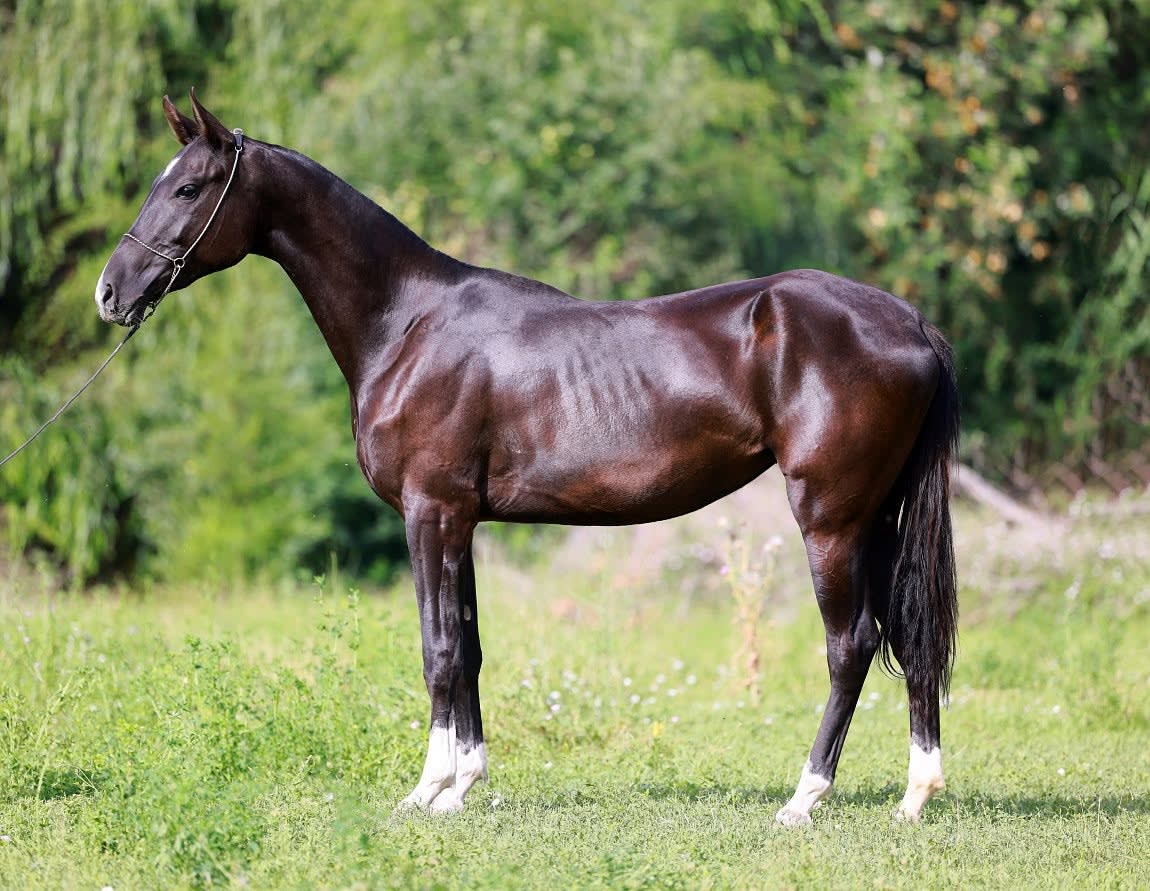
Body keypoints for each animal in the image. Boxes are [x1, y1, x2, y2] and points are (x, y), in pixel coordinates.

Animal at [96, 93, 958, 825]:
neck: (407, 324)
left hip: (831, 519)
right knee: (911, 638)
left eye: (189, 187)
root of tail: (909, 321)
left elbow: (438, 650)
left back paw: (803, 797)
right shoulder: (462, 520)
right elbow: (470, 646)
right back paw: (915, 795)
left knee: (851, 644)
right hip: (880, 515)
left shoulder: (430, 511)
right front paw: (463, 784)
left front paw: (428, 789)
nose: (110, 293)